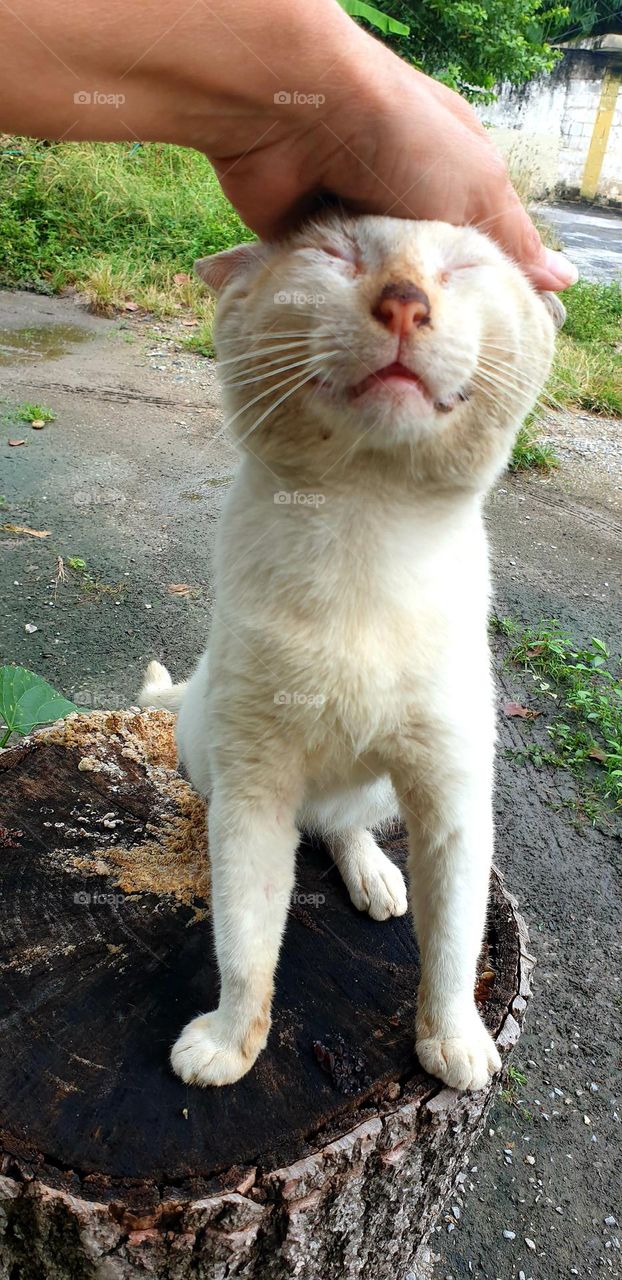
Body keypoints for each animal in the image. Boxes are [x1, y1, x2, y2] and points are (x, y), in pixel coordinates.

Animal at [139, 215, 558, 1095]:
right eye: (334, 252)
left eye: (461, 265)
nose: (404, 301)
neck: (365, 525)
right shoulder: (254, 790)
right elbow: (245, 940)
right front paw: (229, 1040)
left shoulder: (454, 795)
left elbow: (455, 942)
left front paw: (455, 1038)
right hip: (206, 745)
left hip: (381, 788)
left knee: (345, 827)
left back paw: (373, 871)